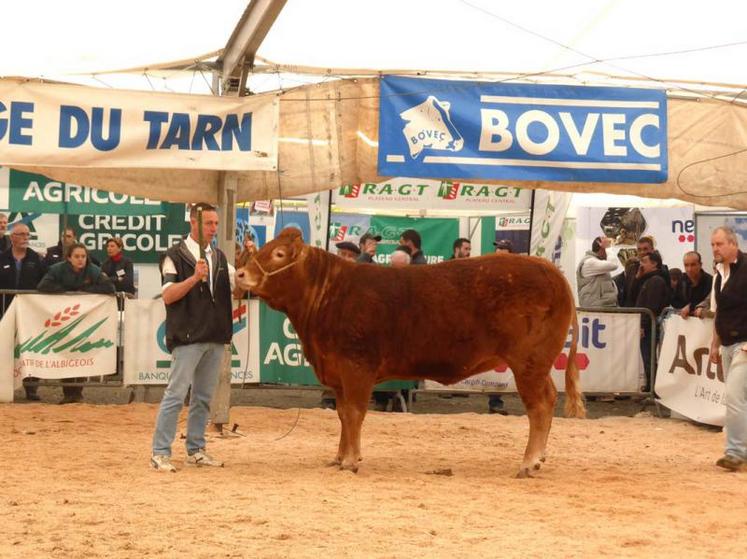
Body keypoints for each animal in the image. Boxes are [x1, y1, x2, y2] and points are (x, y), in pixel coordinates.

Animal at [237, 228, 588, 476]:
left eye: (279, 253)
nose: (240, 274)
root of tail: (547, 267)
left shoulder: (356, 367)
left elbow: (353, 413)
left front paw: (351, 460)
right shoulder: (337, 373)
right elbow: (341, 415)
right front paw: (338, 457)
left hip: (529, 362)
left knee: (540, 405)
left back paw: (529, 462)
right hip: (536, 364)